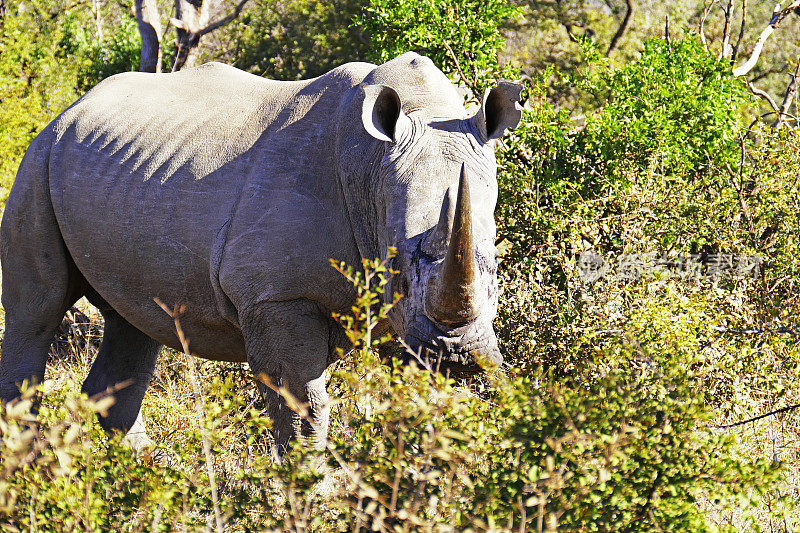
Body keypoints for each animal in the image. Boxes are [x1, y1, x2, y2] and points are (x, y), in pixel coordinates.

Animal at [0, 51, 520, 448]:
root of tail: (70, 108)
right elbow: (303, 409)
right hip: (38, 159)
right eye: (397, 270)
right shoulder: (277, 297)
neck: (373, 164)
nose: (457, 358)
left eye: (496, 270)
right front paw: (309, 499)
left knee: (134, 324)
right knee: (36, 312)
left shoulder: (400, 323)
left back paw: (133, 479)